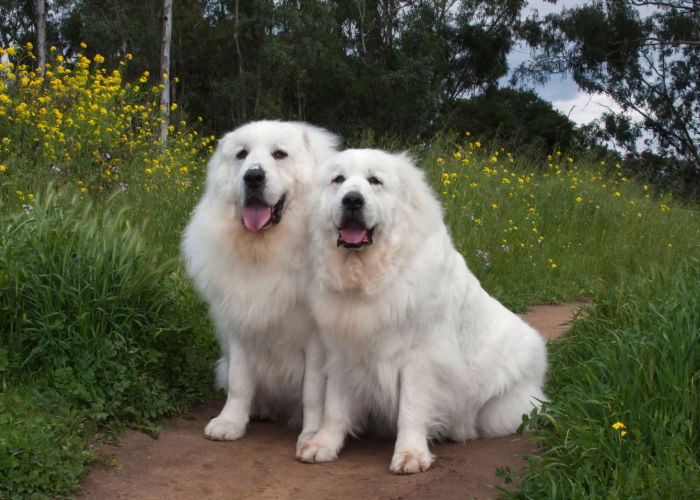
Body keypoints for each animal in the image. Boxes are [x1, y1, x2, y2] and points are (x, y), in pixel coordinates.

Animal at [182, 121, 338, 446]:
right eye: (241, 154)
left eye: (279, 154)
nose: (253, 176)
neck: (267, 250)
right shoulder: (241, 324)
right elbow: (239, 382)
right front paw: (230, 423)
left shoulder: (316, 342)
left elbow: (313, 392)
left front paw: (312, 434)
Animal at [296, 147, 548, 472]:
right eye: (338, 180)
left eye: (375, 181)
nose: (352, 199)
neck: (371, 277)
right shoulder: (343, 352)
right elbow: (334, 408)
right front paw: (323, 445)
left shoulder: (421, 358)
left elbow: (411, 409)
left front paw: (410, 454)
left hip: (501, 406)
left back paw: (462, 429)